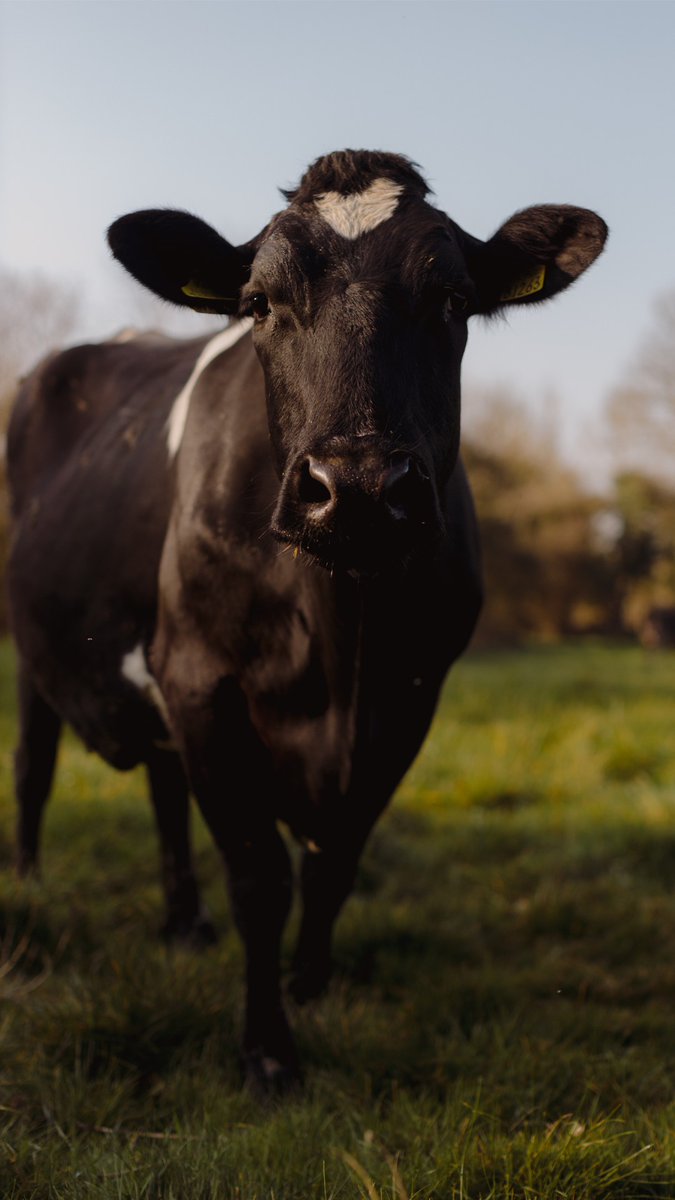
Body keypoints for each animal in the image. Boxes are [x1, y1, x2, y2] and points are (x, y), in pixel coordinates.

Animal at [7, 150, 607, 1091]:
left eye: (452, 299)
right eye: (259, 302)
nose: (356, 487)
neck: (342, 644)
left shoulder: (409, 694)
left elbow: (336, 859)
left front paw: (311, 983)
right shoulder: (204, 678)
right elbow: (261, 876)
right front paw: (267, 1050)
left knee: (163, 782)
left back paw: (184, 924)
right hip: (39, 643)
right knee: (35, 765)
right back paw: (31, 889)